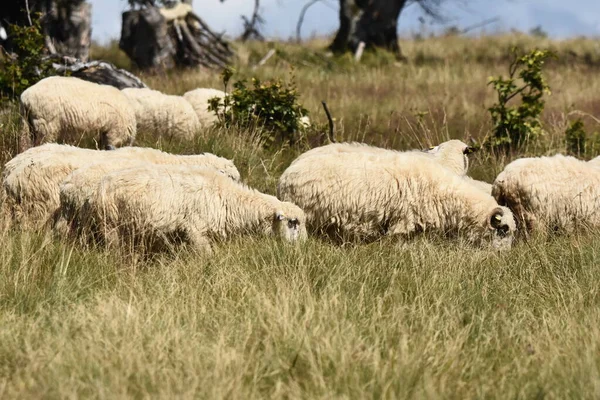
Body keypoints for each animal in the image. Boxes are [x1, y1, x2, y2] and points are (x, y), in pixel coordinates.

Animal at [88, 163, 310, 253]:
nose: (304, 246)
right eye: (293, 223)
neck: (228, 198)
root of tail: (102, 183)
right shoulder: (195, 229)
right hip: (110, 225)